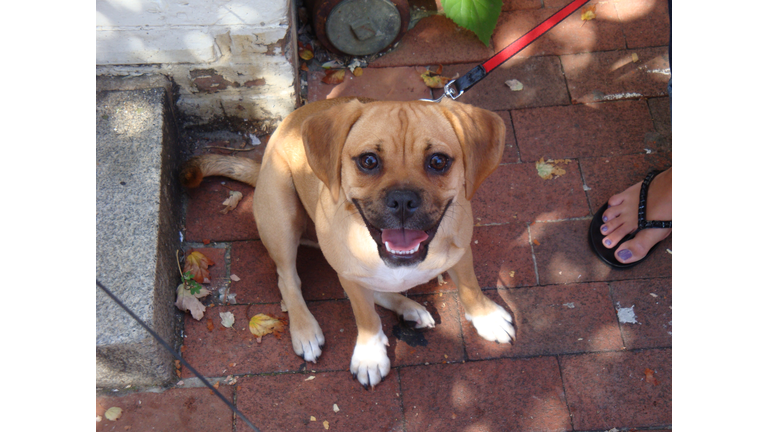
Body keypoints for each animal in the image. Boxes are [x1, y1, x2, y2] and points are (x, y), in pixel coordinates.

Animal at [181, 98, 516, 388]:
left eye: (438, 161)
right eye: (368, 160)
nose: (403, 200)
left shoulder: (461, 252)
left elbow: (470, 287)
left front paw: (486, 317)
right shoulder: (351, 275)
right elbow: (365, 317)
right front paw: (370, 355)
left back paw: (409, 307)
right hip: (281, 216)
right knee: (287, 279)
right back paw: (305, 329)